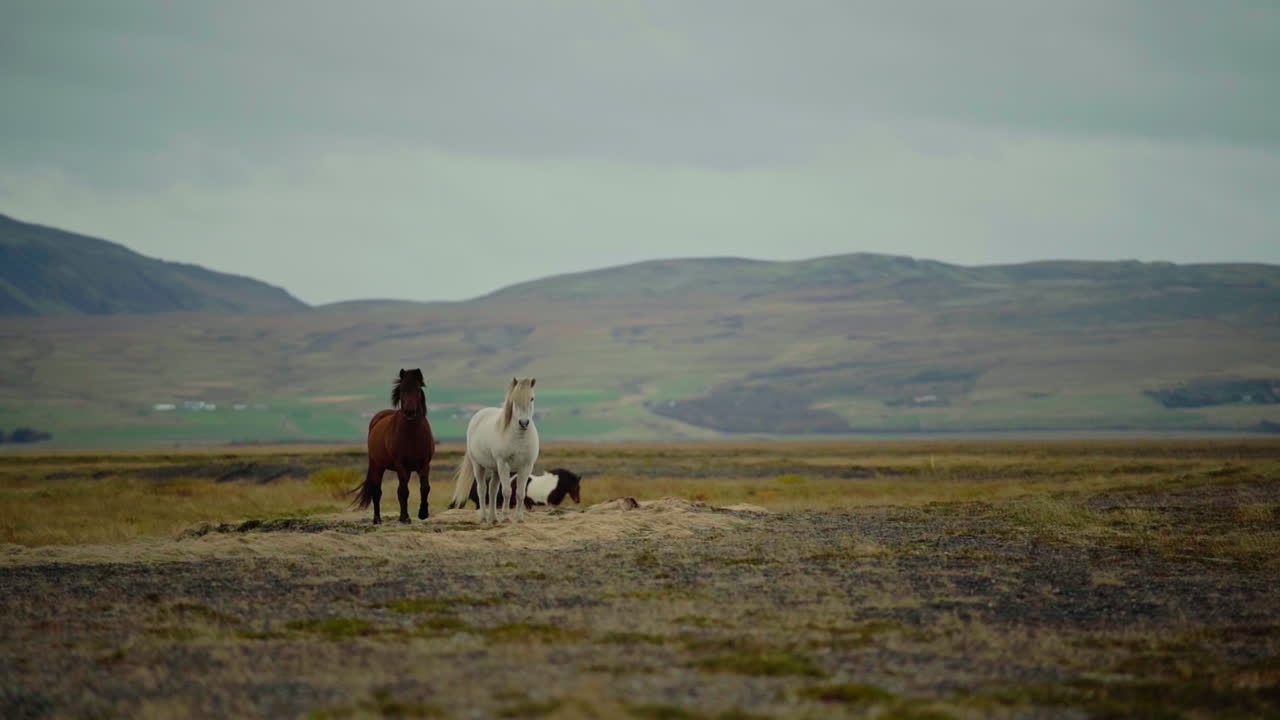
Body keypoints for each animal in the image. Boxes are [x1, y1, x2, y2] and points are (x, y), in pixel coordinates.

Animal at [351, 368, 436, 524]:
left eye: (417, 390)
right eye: (402, 390)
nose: (409, 412)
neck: (413, 435)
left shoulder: (424, 464)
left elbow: (425, 488)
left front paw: (423, 513)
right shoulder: (400, 465)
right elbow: (403, 491)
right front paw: (404, 517)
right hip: (377, 466)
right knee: (377, 491)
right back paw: (377, 519)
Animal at [448, 377, 539, 524]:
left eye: (531, 398)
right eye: (514, 399)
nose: (524, 423)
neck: (519, 437)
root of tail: (479, 415)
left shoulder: (526, 466)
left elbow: (520, 493)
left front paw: (519, 518)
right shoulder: (504, 464)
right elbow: (507, 491)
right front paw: (506, 517)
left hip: (495, 469)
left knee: (492, 489)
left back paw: (493, 517)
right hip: (479, 466)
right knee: (482, 489)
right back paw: (484, 517)